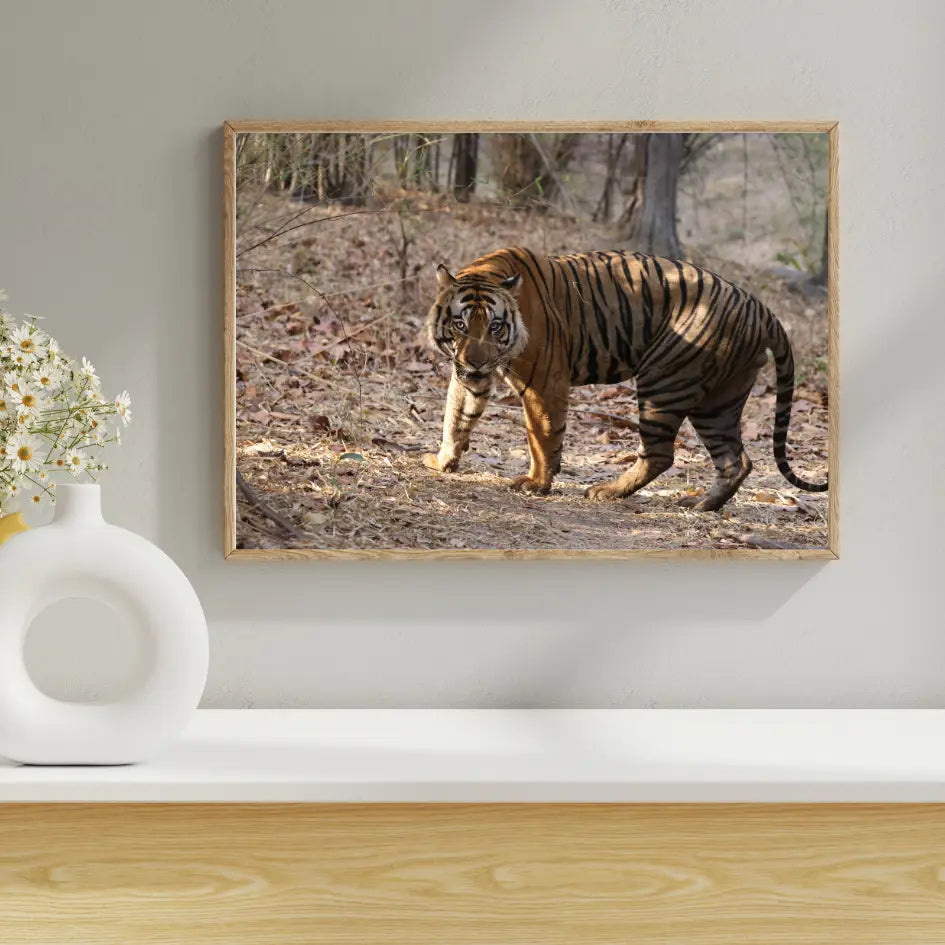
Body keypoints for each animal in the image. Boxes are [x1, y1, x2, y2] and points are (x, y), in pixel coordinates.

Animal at [423, 246, 827, 512]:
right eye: (460, 325)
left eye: (495, 326)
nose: (476, 361)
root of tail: (761, 309)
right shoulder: (470, 376)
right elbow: (456, 417)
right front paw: (443, 461)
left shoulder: (543, 382)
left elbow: (541, 435)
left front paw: (536, 483)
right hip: (719, 401)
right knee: (734, 459)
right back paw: (700, 506)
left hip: (664, 380)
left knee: (661, 454)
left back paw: (607, 491)